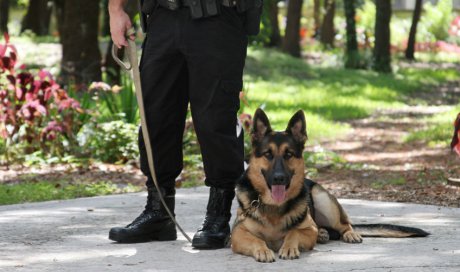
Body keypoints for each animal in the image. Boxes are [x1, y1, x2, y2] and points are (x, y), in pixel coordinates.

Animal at [232, 109, 430, 262]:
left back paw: (348, 234)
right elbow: (257, 240)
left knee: (345, 224)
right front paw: (263, 250)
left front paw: (288, 247)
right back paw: (323, 234)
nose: (279, 179)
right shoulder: (237, 233)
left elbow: (293, 233)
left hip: (323, 199)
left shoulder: (308, 229)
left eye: (289, 154)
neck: (274, 206)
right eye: (268, 154)